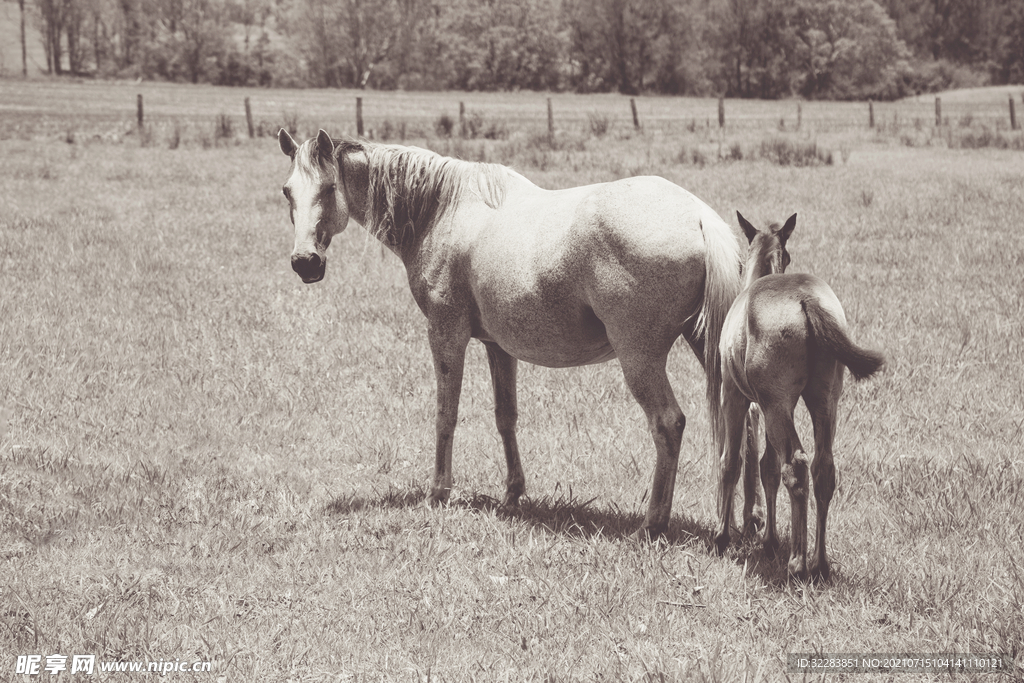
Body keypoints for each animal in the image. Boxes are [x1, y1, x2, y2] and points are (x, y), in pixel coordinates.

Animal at [278, 127, 745, 540]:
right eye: (287, 191)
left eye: (328, 188)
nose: (305, 262)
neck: (443, 210)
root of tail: (699, 217)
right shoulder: (497, 346)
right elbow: (506, 417)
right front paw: (513, 495)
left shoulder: (445, 334)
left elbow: (445, 414)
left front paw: (439, 492)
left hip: (640, 359)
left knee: (668, 423)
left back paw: (653, 524)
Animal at [716, 211, 884, 577]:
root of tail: (807, 301)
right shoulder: (767, 407)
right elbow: (766, 467)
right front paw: (768, 540)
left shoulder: (735, 396)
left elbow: (732, 461)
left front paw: (721, 537)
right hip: (824, 401)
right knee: (823, 469)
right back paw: (818, 561)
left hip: (778, 406)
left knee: (795, 466)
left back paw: (797, 561)